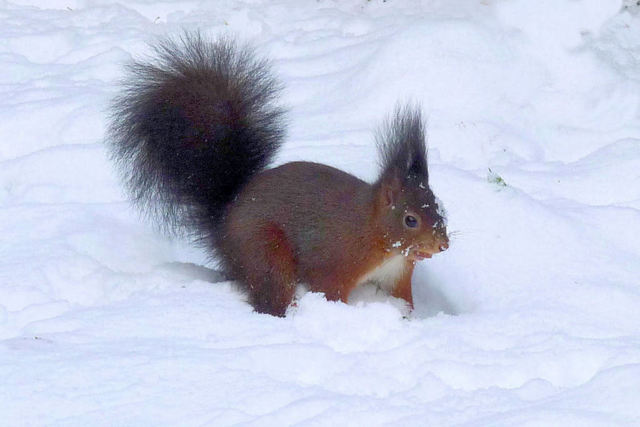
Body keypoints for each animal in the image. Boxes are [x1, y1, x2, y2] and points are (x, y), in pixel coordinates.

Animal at [108, 33, 449, 317]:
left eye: (440, 208)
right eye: (410, 219)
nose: (443, 245)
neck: (377, 235)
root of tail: (225, 224)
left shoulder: (396, 278)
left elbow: (402, 301)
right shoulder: (335, 262)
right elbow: (329, 290)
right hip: (265, 250)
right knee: (272, 294)